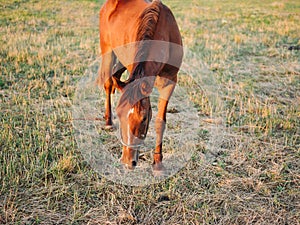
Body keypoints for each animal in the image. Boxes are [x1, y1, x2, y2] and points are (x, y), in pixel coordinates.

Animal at [98, 0, 183, 172]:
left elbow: (160, 122)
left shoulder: (169, 82)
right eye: (120, 115)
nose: (127, 161)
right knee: (109, 84)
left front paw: (157, 164)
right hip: (108, 52)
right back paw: (108, 122)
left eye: (144, 118)